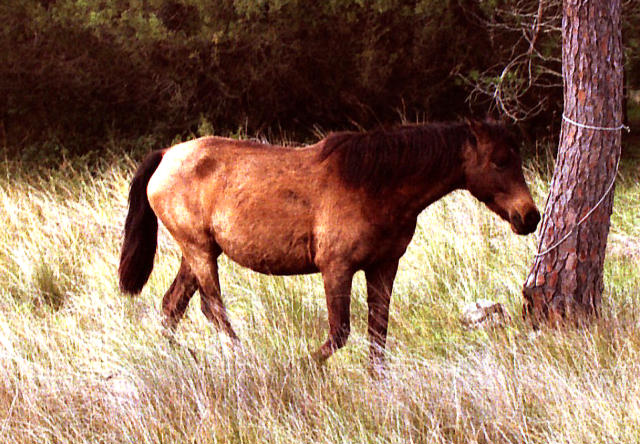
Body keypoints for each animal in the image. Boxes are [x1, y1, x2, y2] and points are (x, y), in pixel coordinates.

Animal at [119, 118, 540, 368]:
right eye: (500, 160)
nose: (530, 216)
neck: (375, 185)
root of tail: (166, 155)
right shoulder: (336, 268)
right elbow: (339, 333)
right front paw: (299, 369)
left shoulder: (384, 267)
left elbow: (377, 333)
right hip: (200, 251)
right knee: (212, 309)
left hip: (198, 252)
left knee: (172, 307)